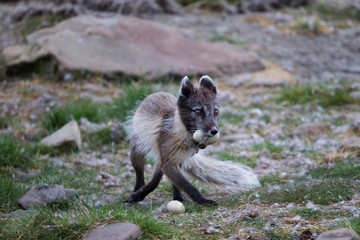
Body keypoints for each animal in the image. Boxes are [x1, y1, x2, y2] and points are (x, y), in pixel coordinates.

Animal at [124, 76, 258, 205]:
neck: (185, 136)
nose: (214, 131)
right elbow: (187, 186)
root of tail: (154, 94)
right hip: (137, 150)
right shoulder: (167, 161)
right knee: (140, 174)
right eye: (198, 111)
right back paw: (138, 190)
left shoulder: (175, 160)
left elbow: (176, 182)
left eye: (216, 111)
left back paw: (176, 197)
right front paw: (203, 201)